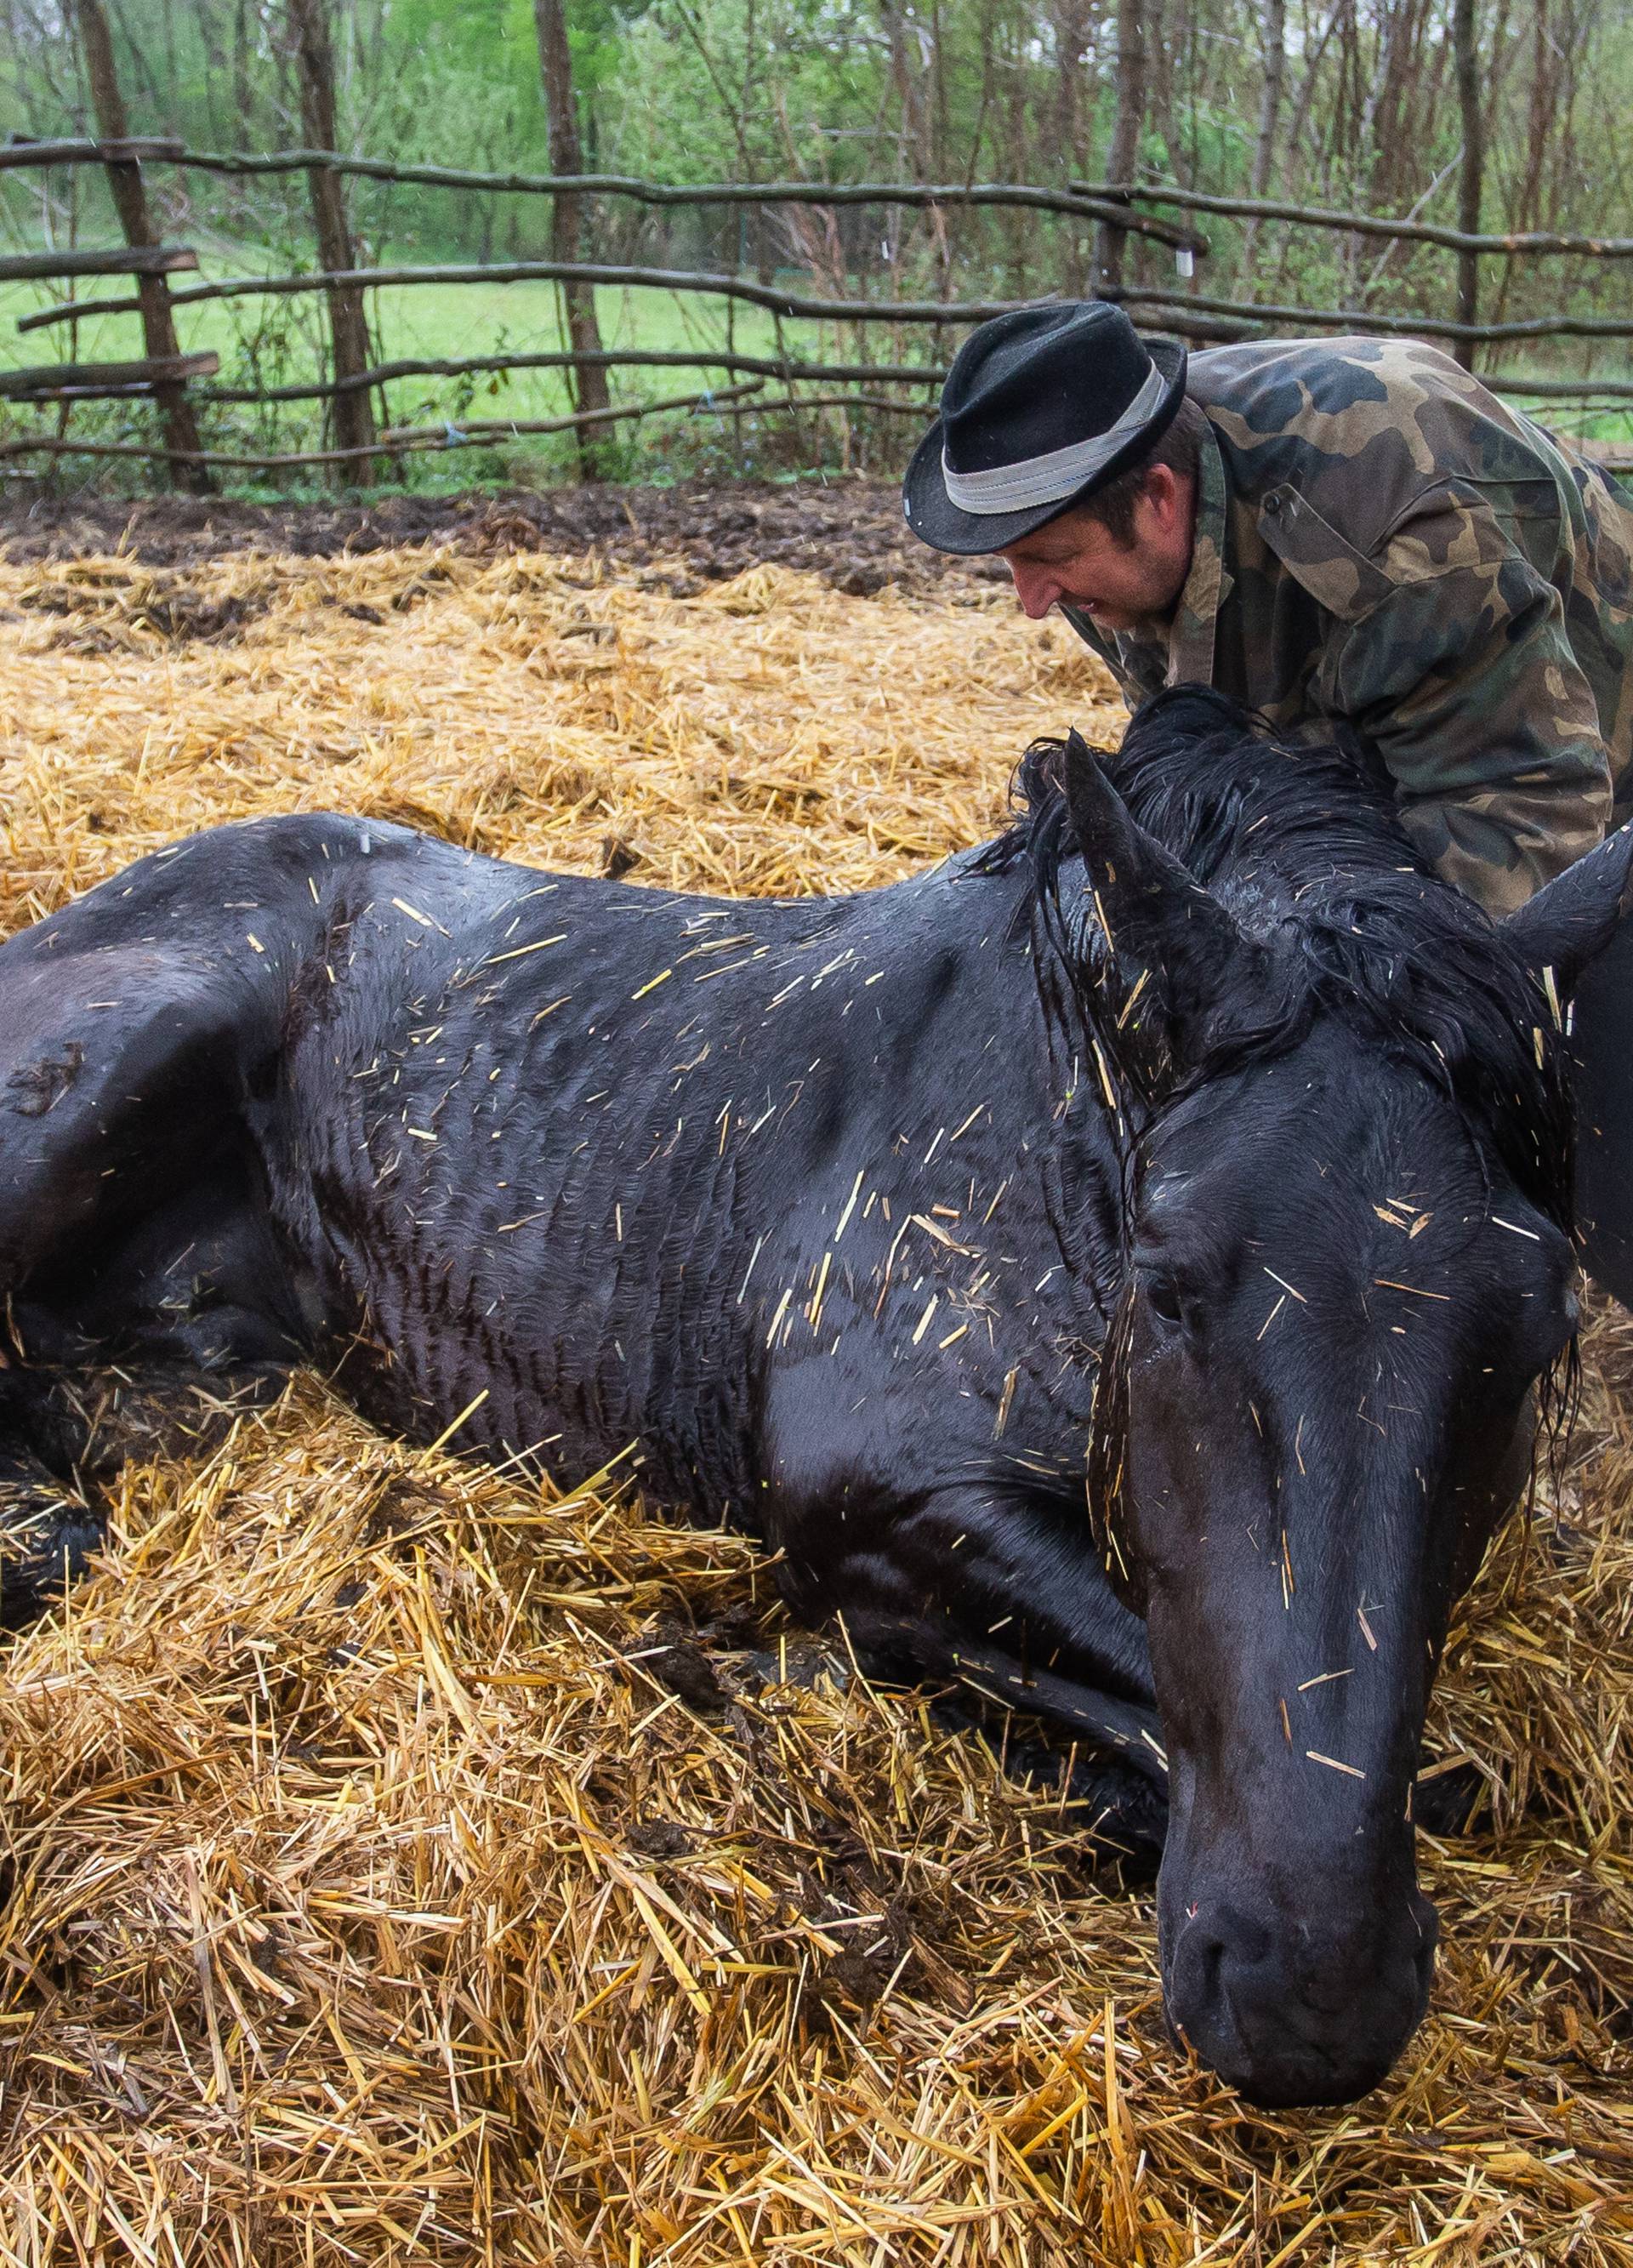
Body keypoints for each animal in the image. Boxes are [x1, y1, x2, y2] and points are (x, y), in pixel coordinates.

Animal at [3, 680, 1633, 2095]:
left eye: (1540, 1325)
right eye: (1166, 1278)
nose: (1306, 1994)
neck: (1052, 1090)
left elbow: (1410, 1772)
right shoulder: (881, 1485)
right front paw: (791, 1672)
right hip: (114, 1075)